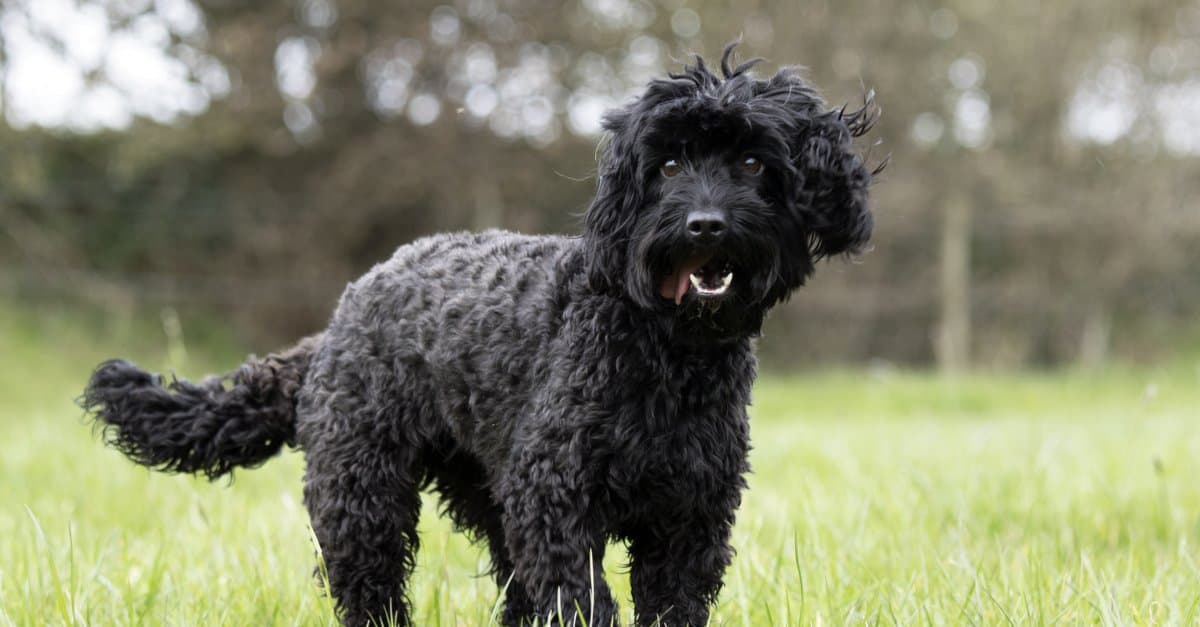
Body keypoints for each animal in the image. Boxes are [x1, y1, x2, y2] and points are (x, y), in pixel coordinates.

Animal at [82, 45, 873, 624]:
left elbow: (664, 605)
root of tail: (347, 307)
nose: (705, 225)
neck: (664, 351)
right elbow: (583, 599)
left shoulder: (689, 520)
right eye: (670, 163)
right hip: (362, 496)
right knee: (369, 588)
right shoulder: (556, 501)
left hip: (486, 495)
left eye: (752, 161)